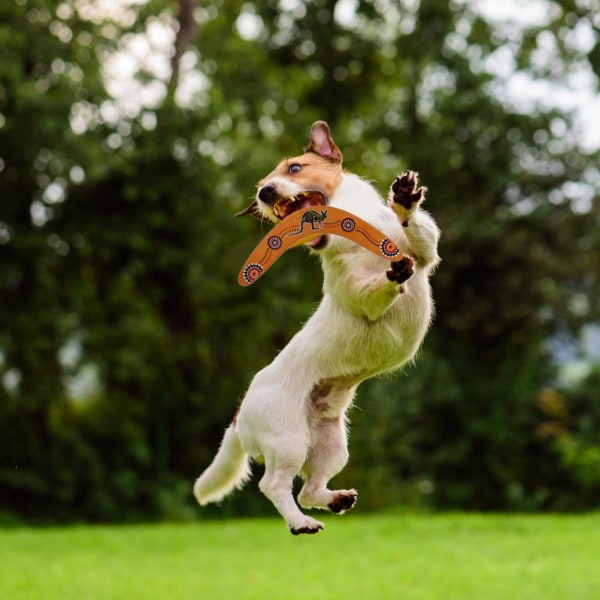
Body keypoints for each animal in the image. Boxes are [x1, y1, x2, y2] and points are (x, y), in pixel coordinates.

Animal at [193, 122, 440, 536]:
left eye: (295, 168)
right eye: (262, 185)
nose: (265, 191)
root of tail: (242, 409)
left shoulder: (425, 253)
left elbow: (418, 238)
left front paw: (405, 199)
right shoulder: (360, 294)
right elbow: (374, 289)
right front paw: (392, 275)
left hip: (329, 443)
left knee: (309, 488)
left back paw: (335, 499)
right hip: (289, 440)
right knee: (274, 485)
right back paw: (300, 523)